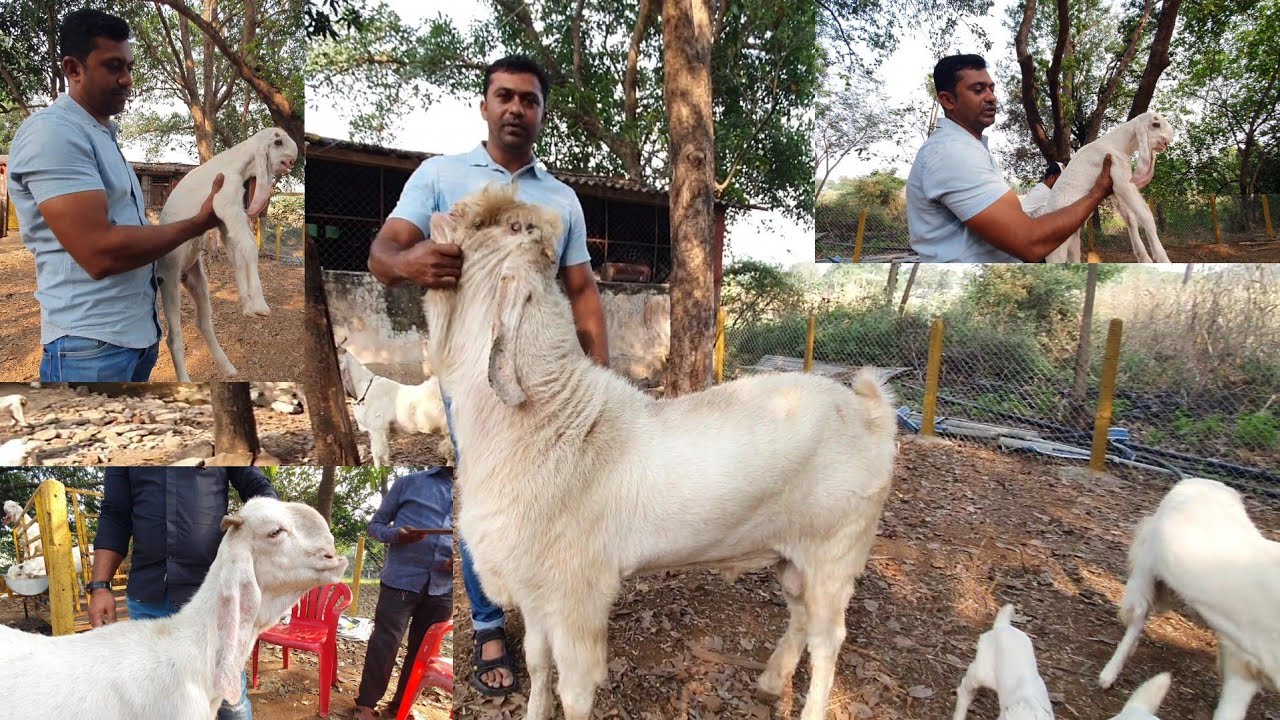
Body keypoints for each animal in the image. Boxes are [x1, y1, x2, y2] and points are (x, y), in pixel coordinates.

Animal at [157, 127, 297, 381]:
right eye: (279, 143)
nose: (291, 162)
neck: (235, 163)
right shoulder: (225, 200)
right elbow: (249, 248)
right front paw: (260, 305)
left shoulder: (226, 217)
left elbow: (237, 254)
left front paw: (248, 307)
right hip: (168, 279)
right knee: (173, 335)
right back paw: (185, 380)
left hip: (195, 278)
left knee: (203, 322)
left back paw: (228, 367)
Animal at [421, 185, 899, 720]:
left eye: (505, 227)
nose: (440, 213)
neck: (553, 419)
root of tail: (869, 411)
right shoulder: (536, 590)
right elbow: (538, 665)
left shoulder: (576, 596)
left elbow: (574, 691)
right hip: (792, 554)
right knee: (800, 617)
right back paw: (771, 682)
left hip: (835, 553)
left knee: (827, 641)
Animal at [1044, 112, 1175, 263]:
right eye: (1155, 124)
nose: (1167, 141)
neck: (1118, 145)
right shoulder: (1121, 180)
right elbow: (1146, 215)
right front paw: (1162, 258)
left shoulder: (1114, 187)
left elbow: (1129, 217)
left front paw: (1144, 258)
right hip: (1055, 247)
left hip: (1073, 239)